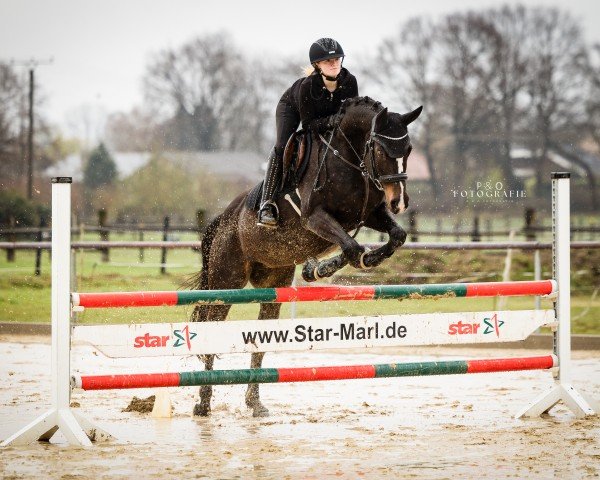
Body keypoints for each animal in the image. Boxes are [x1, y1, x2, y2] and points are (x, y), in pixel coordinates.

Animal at [189, 94, 422, 416]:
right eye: (379, 149)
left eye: (408, 149)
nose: (399, 201)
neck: (348, 158)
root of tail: (221, 221)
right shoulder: (315, 218)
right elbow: (351, 247)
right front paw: (322, 268)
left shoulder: (368, 215)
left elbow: (392, 237)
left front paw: (347, 263)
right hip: (227, 282)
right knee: (211, 330)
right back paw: (203, 402)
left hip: (272, 286)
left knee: (260, 342)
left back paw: (254, 403)